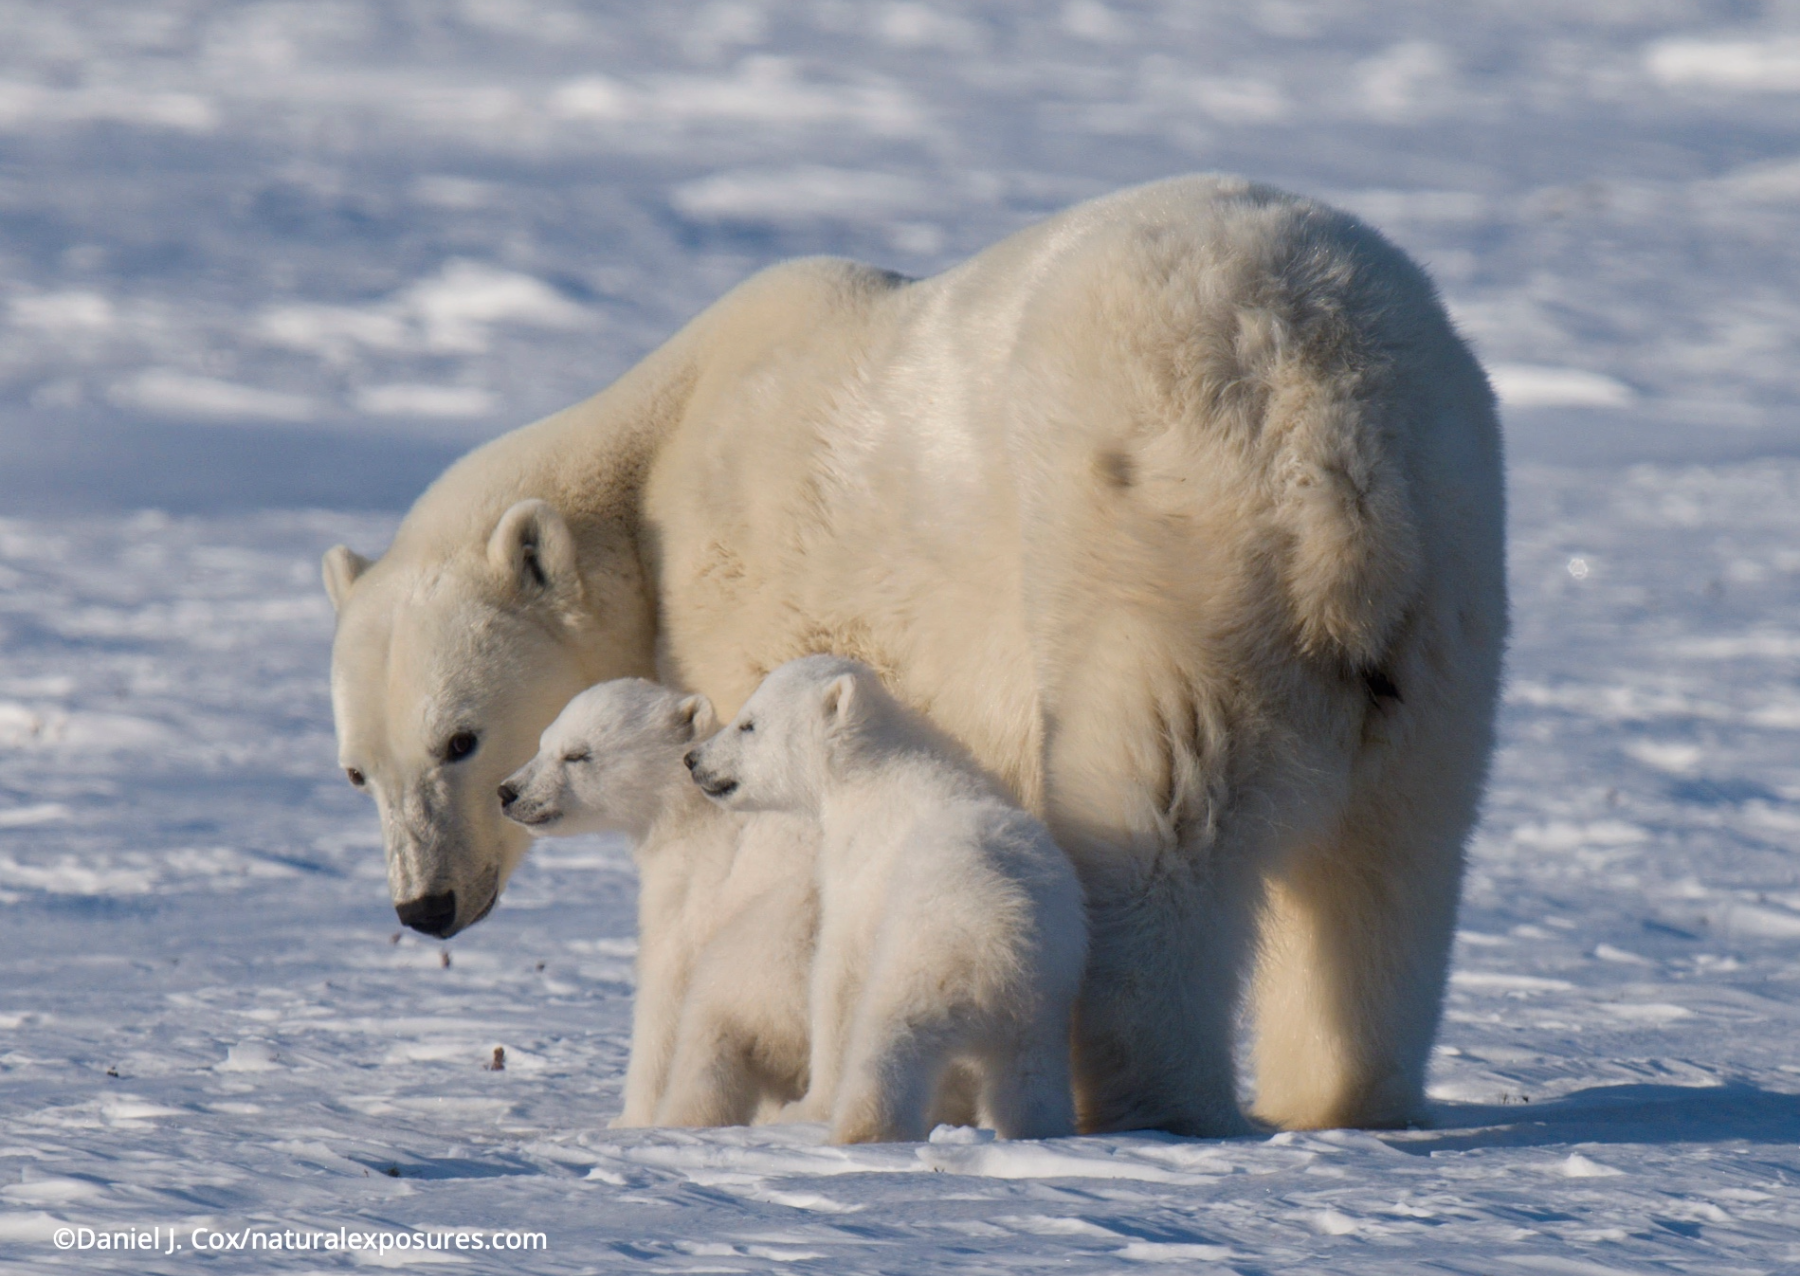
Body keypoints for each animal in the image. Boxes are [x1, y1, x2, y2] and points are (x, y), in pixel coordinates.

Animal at [497, 678, 817, 1127]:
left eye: (577, 754)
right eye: (544, 742)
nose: (509, 792)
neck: (696, 812)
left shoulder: (692, 889)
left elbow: (664, 992)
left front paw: (630, 1119)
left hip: (779, 948)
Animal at [686, 655, 1087, 1145]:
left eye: (749, 723)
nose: (693, 759)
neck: (874, 771)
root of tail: (998, 945)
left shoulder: (860, 872)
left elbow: (837, 981)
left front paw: (809, 1106)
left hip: (922, 958)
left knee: (889, 1038)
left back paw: (865, 1127)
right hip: (1041, 1000)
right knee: (1030, 1077)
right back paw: (1035, 1129)